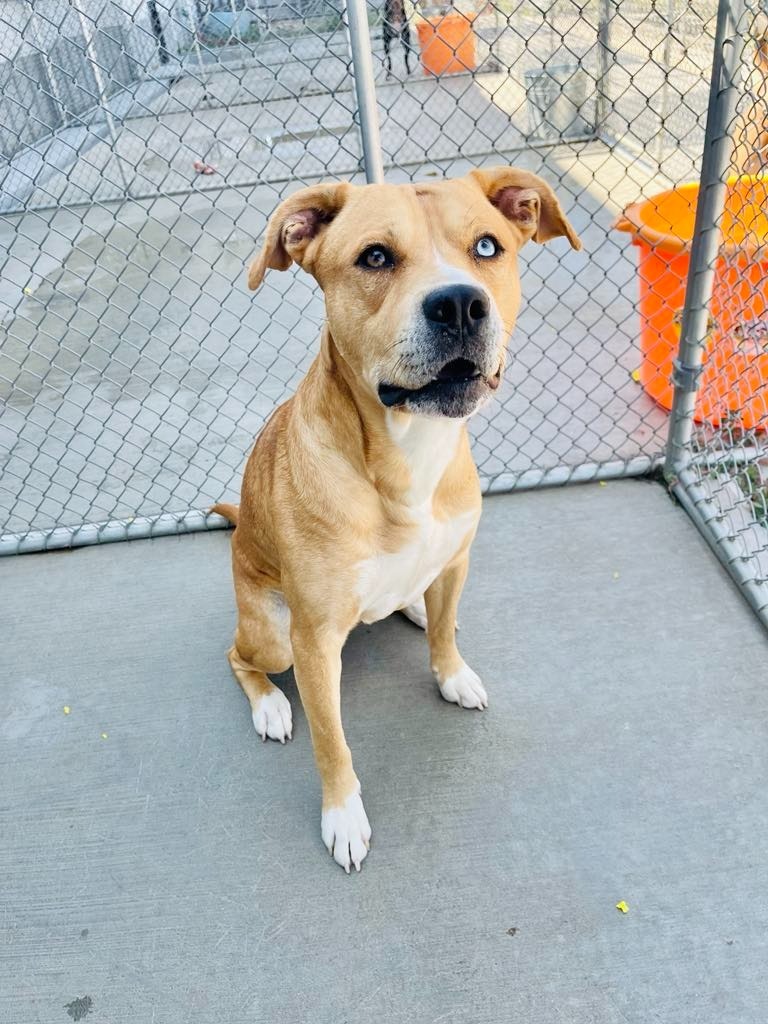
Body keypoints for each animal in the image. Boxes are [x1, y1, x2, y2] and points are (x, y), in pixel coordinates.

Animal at [214, 167, 581, 872]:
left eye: (488, 247)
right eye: (376, 257)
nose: (460, 304)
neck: (410, 452)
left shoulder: (458, 559)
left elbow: (443, 638)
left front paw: (452, 673)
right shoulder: (313, 641)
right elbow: (332, 742)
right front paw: (342, 816)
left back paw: (411, 605)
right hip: (273, 636)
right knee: (236, 655)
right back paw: (270, 705)